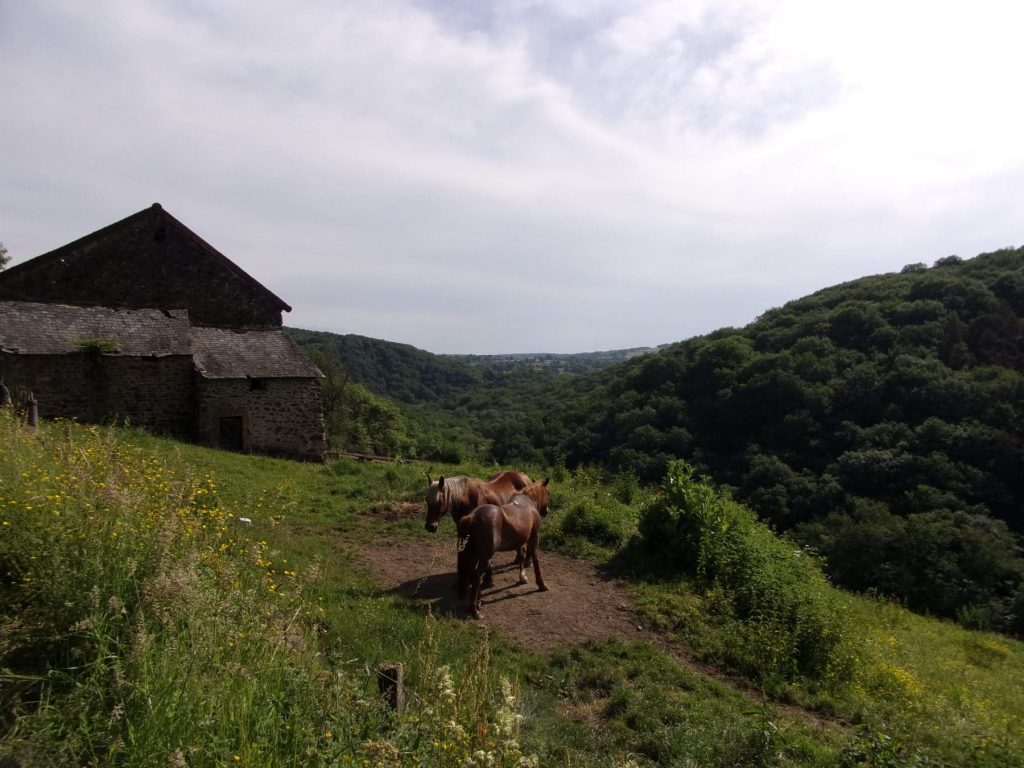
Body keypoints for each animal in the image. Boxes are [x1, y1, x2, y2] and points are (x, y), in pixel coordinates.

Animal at [458, 479, 548, 622]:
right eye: (548, 493)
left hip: (473, 554)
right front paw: (541, 584)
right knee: (477, 577)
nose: (547, 511)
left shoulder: (519, 540)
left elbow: (521, 556)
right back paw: (475, 611)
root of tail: (472, 516)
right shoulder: (534, 537)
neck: (528, 502)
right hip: (484, 557)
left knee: (471, 574)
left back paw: (476, 603)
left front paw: (522, 577)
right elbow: (535, 559)